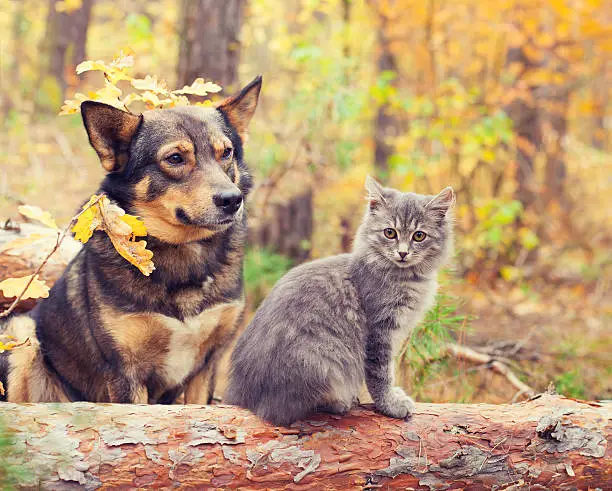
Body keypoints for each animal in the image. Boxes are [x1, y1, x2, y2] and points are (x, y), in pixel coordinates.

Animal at [0, 75, 260, 404]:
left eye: (226, 153)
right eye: (175, 158)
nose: (232, 200)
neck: (183, 252)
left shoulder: (205, 368)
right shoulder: (126, 372)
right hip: (21, 332)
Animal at [226, 177, 454, 426]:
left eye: (419, 236)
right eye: (390, 233)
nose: (402, 253)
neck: (406, 277)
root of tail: (243, 396)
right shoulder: (379, 331)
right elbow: (381, 374)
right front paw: (390, 405)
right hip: (322, 358)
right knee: (282, 412)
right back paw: (339, 403)